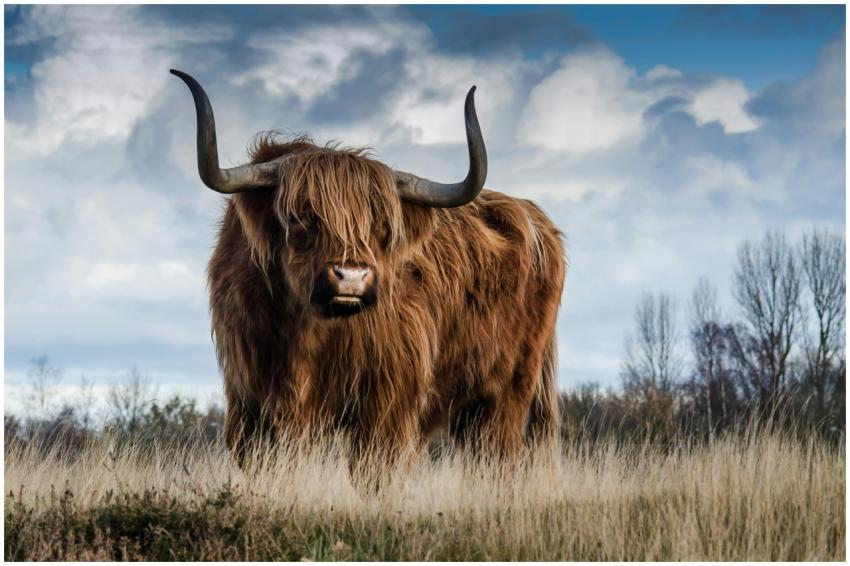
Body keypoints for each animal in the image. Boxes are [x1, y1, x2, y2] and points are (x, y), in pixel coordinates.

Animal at [171, 69, 566, 467]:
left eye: (382, 226)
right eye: (303, 217)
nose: (352, 278)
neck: (304, 334)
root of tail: (536, 218)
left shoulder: (387, 403)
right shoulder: (250, 403)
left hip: (505, 395)